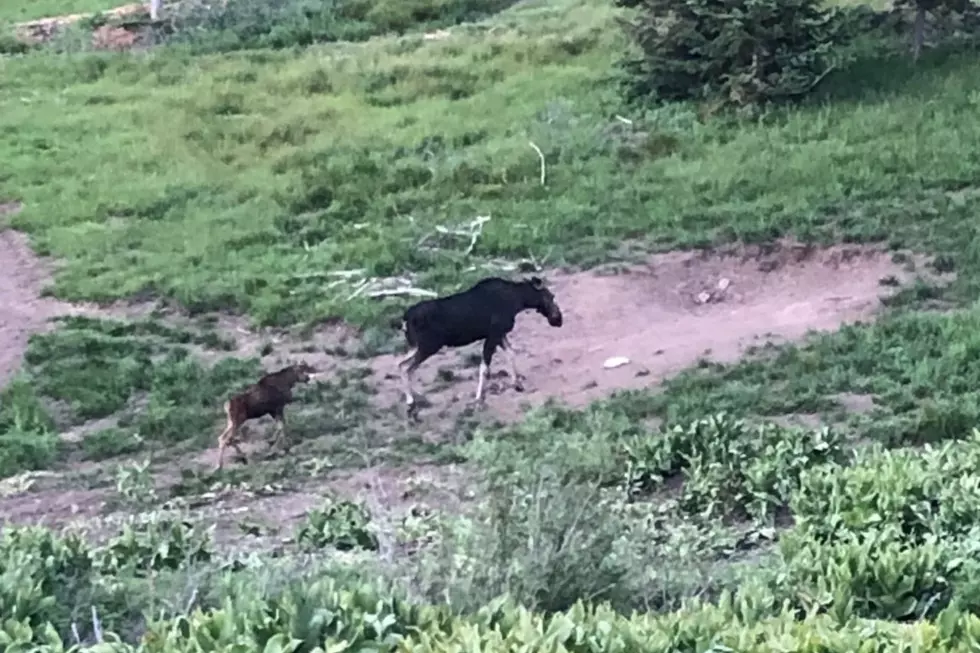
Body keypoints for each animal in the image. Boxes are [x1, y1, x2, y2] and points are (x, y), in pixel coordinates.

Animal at [392, 276, 560, 418]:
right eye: (550, 296)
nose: (558, 319)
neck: (518, 301)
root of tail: (405, 320)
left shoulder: (499, 334)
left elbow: (511, 353)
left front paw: (517, 383)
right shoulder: (494, 334)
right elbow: (484, 368)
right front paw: (479, 400)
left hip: (416, 346)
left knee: (401, 365)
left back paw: (413, 402)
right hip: (428, 346)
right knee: (407, 367)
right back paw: (411, 404)